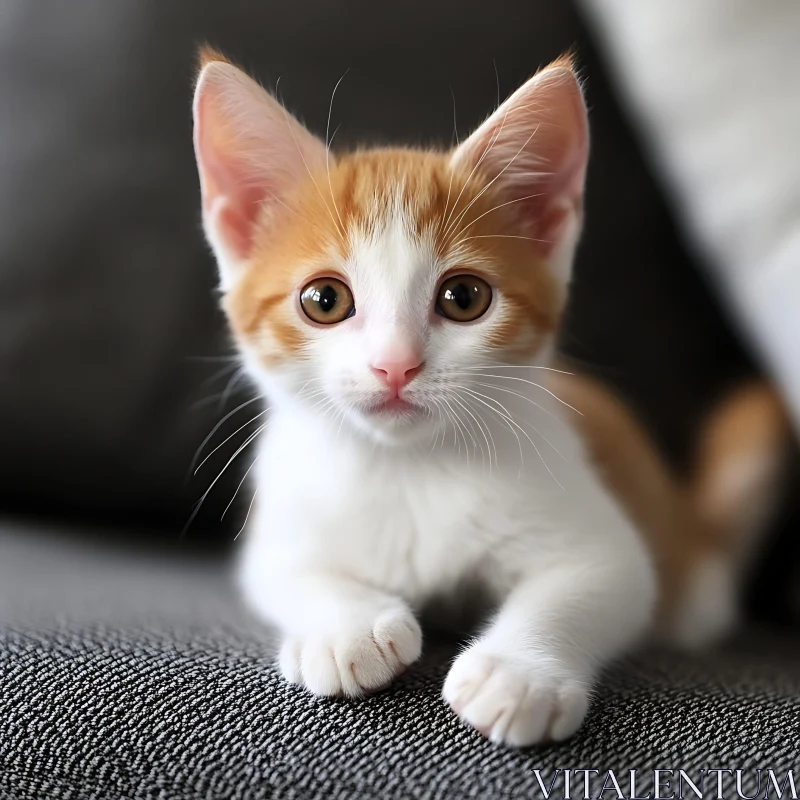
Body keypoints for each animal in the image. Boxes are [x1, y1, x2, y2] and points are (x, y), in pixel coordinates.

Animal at [189, 51, 732, 744]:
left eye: (464, 297)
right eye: (324, 300)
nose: (395, 364)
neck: (409, 468)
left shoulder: (607, 544)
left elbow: (590, 583)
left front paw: (519, 672)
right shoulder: (284, 525)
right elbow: (292, 573)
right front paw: (347, 626)